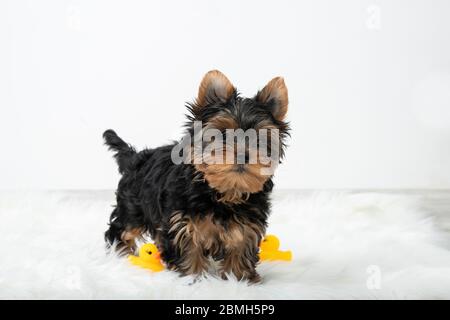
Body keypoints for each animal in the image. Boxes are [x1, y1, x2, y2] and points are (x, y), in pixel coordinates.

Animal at [103, 70, 288, 282]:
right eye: (223, 134)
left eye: (259, 139)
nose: (243, 154)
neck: (222, 192)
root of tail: (135, 158)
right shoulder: (182, 223)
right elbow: (188, 251)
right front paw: (192, 278)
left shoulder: (247, 225)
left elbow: (240, 250)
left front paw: (240, 278)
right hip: (133, 208)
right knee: (122, 229)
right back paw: (120, 255)